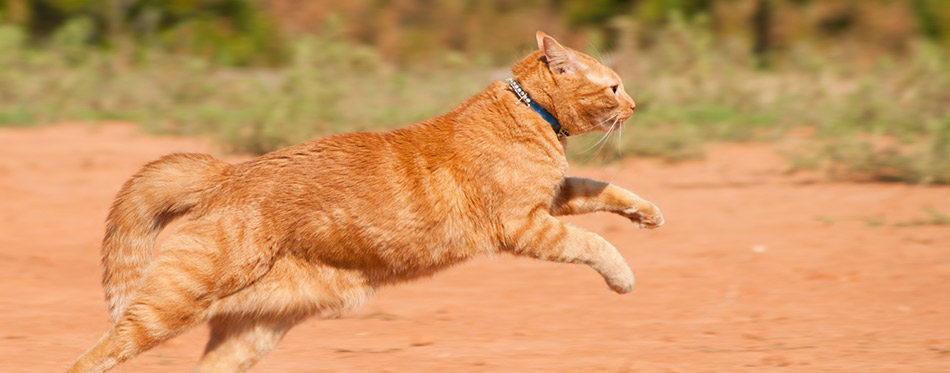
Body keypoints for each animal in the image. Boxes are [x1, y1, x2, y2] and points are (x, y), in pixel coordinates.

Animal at [69, 32, 660, 372]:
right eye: (612, 87)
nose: (635, 103)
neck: (532, 112)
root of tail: (227, 170)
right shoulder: (526, 226)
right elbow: (594, 243)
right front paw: (624, 277)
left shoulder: (555, 198)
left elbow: (600, 188)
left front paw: (647, 212)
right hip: (171, 303)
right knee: (96, 353)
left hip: (250, 332)